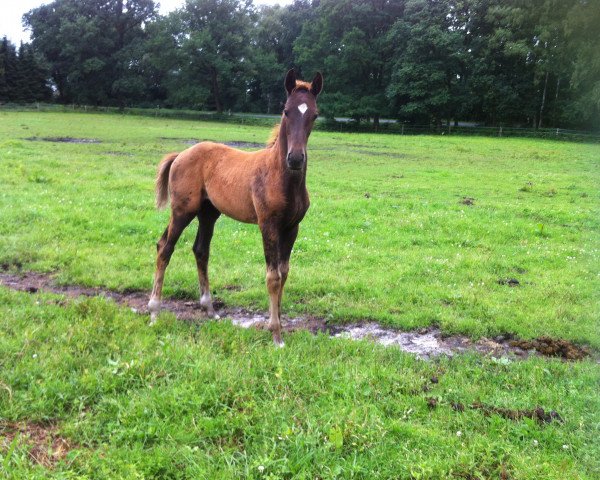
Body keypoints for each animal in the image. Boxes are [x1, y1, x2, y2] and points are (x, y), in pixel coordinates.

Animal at [147, 68, 322, 344]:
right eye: (286, 111)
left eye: (314, 114)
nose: (295, 158)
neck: (280, 176)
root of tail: (181, 155)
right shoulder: (268, 225)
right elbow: (273, 276)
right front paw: (276, 335)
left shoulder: (292, 228)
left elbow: (284, 272)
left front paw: (280, 324)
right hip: (183, 210)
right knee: (165, 248)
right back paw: (154, 312)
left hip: (208, 213)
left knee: (200, 250)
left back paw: (210, 310)